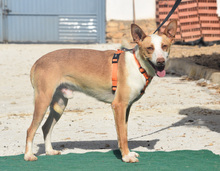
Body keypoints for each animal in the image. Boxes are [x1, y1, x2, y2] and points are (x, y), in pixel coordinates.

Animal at [24, 20, 178, 163]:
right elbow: (122, 135)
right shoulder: (119, 105)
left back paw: (49, 151)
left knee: (46, 127)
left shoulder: (126, 108)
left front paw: (126, 153)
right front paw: (126, 157)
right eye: (149, 48)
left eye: (164, 46)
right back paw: (28, 155)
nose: (160, 61)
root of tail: (38, 61)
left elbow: (123, 133)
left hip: (60, 104)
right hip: (43, 101)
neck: (138, 64)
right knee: (30, 130)